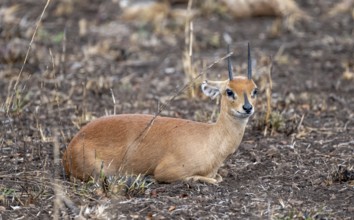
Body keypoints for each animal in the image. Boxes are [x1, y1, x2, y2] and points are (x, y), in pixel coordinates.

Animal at [63, 43, 258, 184]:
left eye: (254, 90)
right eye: (229, 91)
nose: (247, 108)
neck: (210, 138)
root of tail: (71, 146)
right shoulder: (165, 172)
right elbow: (214, 179)